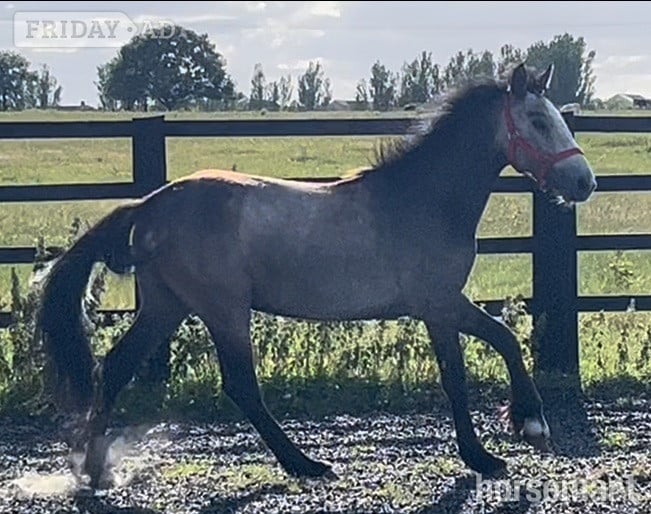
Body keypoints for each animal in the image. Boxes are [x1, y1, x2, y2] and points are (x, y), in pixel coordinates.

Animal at [37, 63, 596, 489]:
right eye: (537, 121)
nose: (584, 183)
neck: (424, 200)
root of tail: (150, 204)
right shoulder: (439, 305)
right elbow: (475, 364)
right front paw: (510, 438)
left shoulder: (441, 305)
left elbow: (499, 344)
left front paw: (517, 429)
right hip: (222, 309)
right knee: (241, 385)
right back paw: (305, 464)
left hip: (166, 304)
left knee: (114, 368)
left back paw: (95, 473)